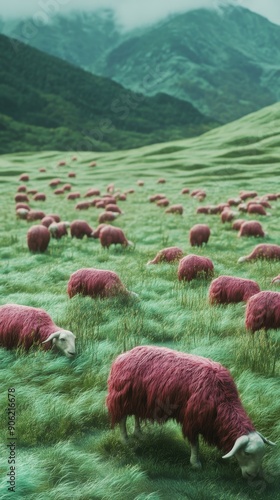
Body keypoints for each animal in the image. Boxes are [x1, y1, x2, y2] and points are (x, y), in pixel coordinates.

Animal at [106, 344, 274, 476]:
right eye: (247, 453)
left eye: (262, 454)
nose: (253, 475)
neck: (223, 398)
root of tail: (123, 355)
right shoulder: (193, 418)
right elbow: (195, 443)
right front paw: (195, 463)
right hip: (123, 396)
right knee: (122, 419)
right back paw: (126, 440)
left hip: (139, 398)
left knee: (136, 415)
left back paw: (139, 433)